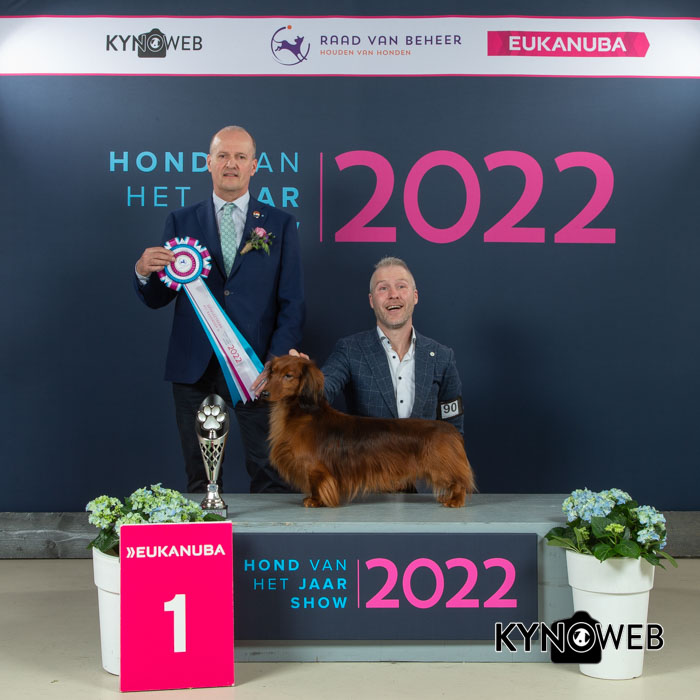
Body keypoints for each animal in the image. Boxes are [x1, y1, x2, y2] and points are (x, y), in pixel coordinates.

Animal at [262, 354, 475, 508]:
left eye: (288, 375)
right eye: (272, 373)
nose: (263, 393)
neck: (301, 413)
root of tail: (450, 429)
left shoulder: (315, 467)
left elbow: (317, 484)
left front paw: (315, 501)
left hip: (441, 467)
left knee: (459, 483)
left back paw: (455, 501)